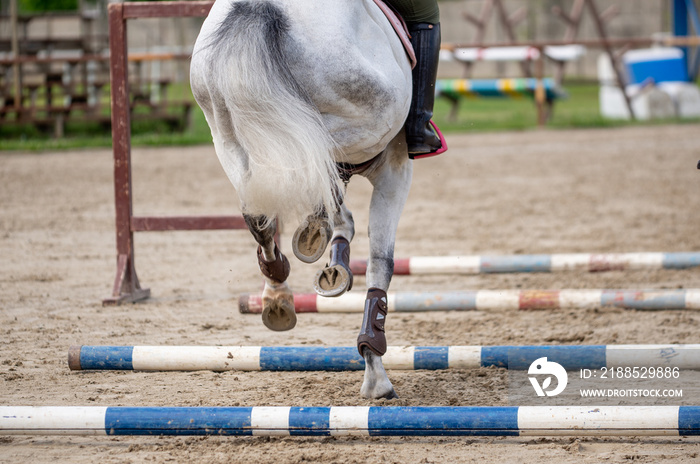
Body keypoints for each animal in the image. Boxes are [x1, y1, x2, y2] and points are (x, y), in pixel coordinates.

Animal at [189, 0, 412, 398]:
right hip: (367, 109)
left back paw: (278, 293)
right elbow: (381, 264)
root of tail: (259, 7)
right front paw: (375, 371)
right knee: (312, 153)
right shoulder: (395, 170)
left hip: (226, 135)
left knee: (259, 211)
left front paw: (334, 259)